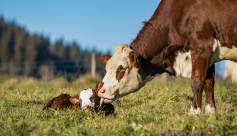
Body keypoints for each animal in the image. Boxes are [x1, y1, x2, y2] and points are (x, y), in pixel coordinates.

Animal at [98, 0, 237, 115]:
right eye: (107, 69)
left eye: (122, 68)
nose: (101, 91)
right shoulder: (210, 56)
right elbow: (209, 83)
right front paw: (210, 112)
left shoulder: (202, 47)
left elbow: (197, 81)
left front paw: (195, 112)